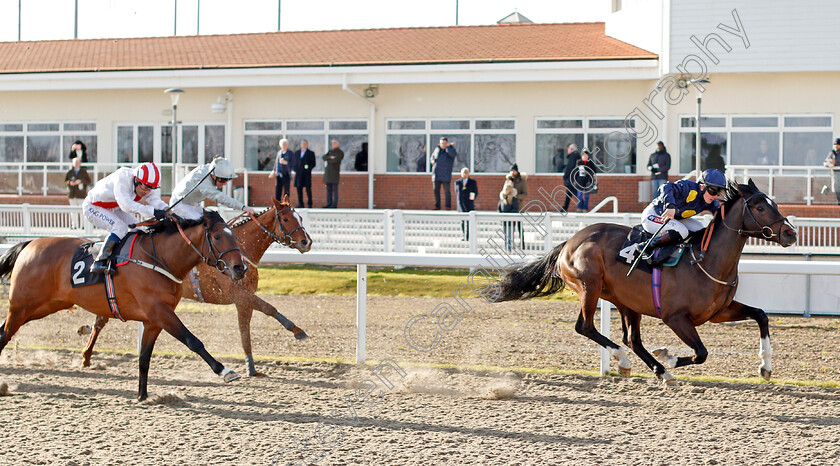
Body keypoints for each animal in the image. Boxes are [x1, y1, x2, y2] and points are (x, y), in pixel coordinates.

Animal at [0, 211, 249, 400]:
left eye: (234, 236)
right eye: (217, 236)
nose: (240, 268)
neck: (159, 259)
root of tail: (29, 244)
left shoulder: (153, 321)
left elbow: (144, 359)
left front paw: (142, 396)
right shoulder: (161, 312)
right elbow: (193, 341)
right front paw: (225, 371)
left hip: (42, 307)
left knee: (4, 330)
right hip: (23, 306)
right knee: (4, 335)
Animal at [82, 195, 314, 376]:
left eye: (301, 217)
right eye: (286, 218)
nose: (306, 242)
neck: (240, 250)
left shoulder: (243, 299)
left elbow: (245, 331)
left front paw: (251, 367)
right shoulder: (236, 293)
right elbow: (268, 308)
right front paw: (297, 330)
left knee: (101, 317)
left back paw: (86, 351)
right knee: (100, 321)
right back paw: (85, 353)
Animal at [496, 178, 796, 382]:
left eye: (774, 204)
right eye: (759, 207)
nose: (790, 233)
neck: (705, 261)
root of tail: (570, 241)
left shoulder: (717, 312)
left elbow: (761, 315)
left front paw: (766, 366)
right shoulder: (676, 317)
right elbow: (701, 352)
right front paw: (670, 357)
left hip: (626, 301)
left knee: (632, 339)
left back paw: (658, 371)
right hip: (588, 287)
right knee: (586, 327)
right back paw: (628, 361)